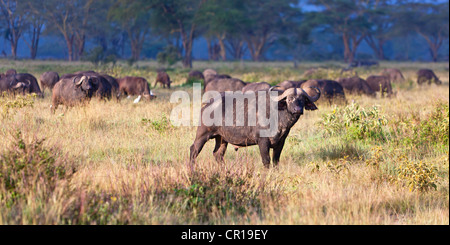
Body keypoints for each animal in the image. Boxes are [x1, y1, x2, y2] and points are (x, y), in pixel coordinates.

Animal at [189, 85, 320, 167]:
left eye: (302, 99)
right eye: (290, 98)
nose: (298, 110)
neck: (277, 115)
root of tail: (207, 105)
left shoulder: (281, 142)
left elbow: (276, 161)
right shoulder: (262, 142)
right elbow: (266, 161)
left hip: (221, 139)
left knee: (218, 155)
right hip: (202, 134)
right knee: (193, 150)